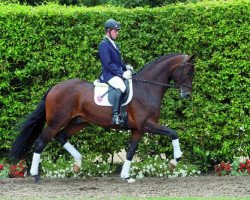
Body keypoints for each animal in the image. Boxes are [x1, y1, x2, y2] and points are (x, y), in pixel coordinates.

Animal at [9, 53, 195, 183]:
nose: (187, 95)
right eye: (187, 71)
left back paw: (77, 164)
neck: (147, 88)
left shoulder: (138, 130)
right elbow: (173, 133)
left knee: (61, 137)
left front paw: (126, 176)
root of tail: (54, 88)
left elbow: (130, 151)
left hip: (79, 122)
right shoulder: (147, 124)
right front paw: (174, 161)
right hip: (56, 122)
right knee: (41, 143)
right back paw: (36, 176)